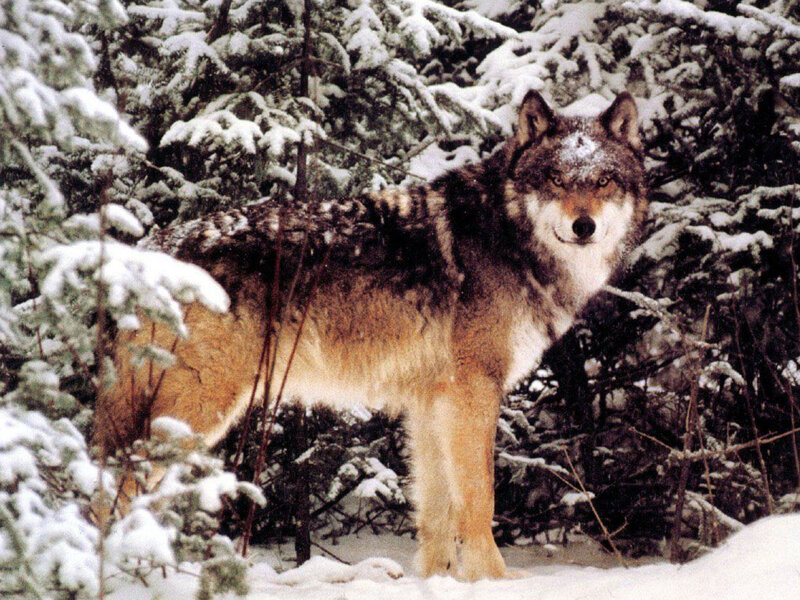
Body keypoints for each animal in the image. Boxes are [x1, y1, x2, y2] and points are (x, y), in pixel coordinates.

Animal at [95, 90, 647, 580]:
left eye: (603, 180)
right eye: (555, 178)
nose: (583, 225)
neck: (508, 237)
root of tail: (149, 249)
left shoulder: (431, 402)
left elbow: (438, 512)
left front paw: (441, 581)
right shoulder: (473, 393)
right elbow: (479, 500)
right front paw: (495, 581)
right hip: (198, 411)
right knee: (115, 485)